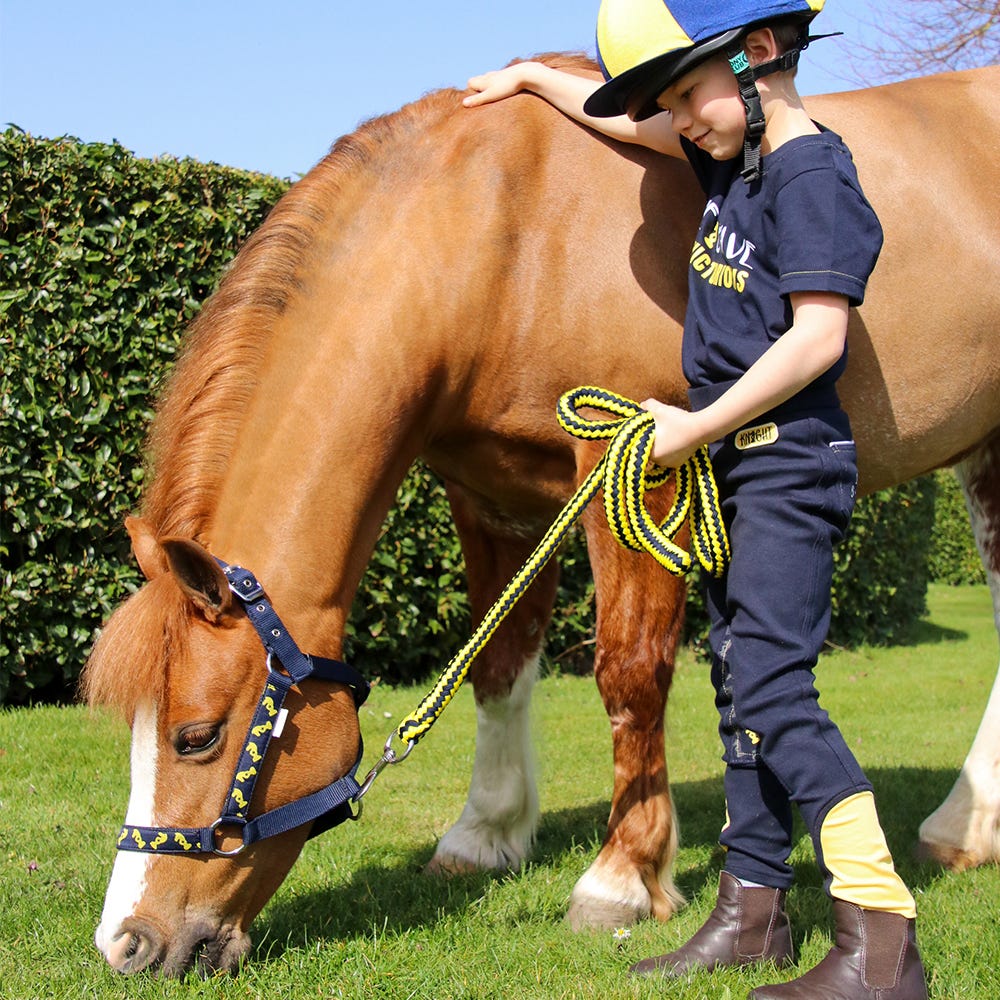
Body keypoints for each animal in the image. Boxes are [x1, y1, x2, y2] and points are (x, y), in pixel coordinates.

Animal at [84, 58, 1000, 972]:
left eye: (197, 736)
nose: (126, 942)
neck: (502, 236)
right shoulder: (494, 501)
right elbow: (496, 665)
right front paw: (484, 835)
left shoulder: (636, 469)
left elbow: (629, 672)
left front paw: (621, 878)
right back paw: (967, 829)